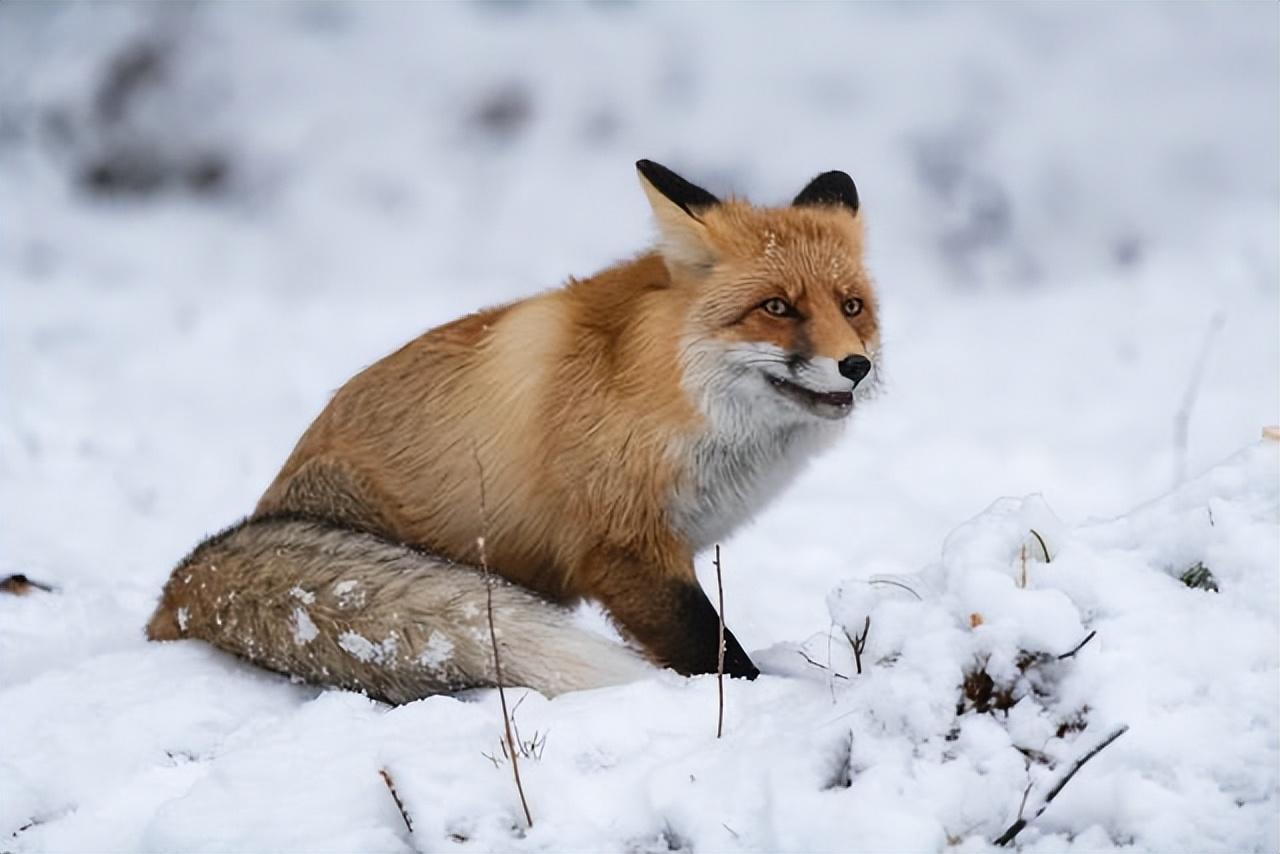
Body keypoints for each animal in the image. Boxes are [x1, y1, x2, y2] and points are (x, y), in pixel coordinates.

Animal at [145, 163, 875, 706]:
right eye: (776, 307)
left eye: (852, 307)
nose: (857, 366)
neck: (673, 388)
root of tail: (174, 599)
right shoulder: (623, 547)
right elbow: (717, 652)